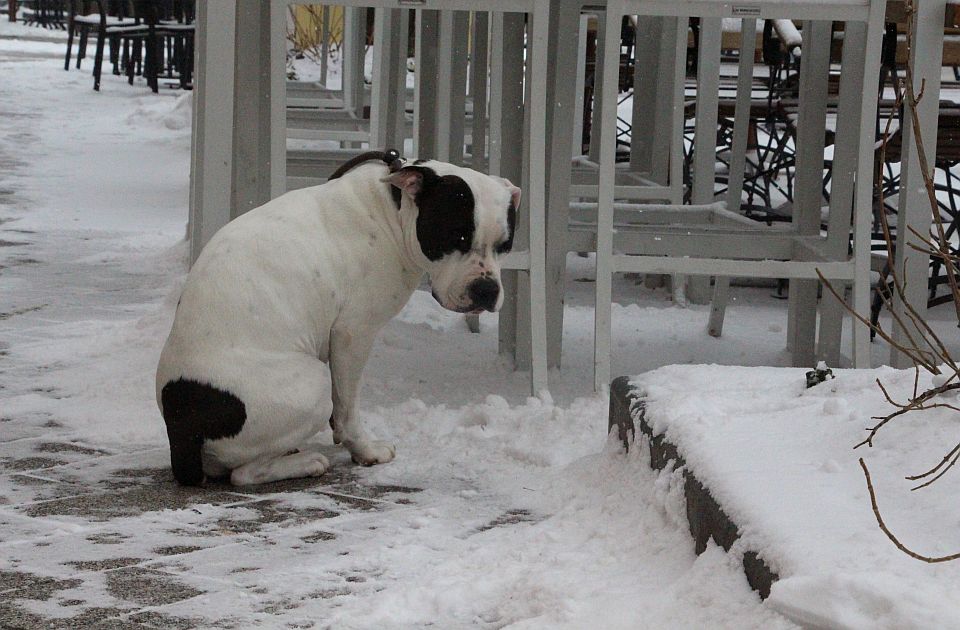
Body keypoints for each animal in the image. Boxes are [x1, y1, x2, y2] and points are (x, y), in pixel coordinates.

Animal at [158, 153, 520, 488]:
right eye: (456, 236)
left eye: (505, 245)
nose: (486, 289)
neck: (393, 209)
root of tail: (182, 428)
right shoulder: (353, 333)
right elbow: (347, 407)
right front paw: (366, 451)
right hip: (312, 383)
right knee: (243, 473)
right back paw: (305, 462)